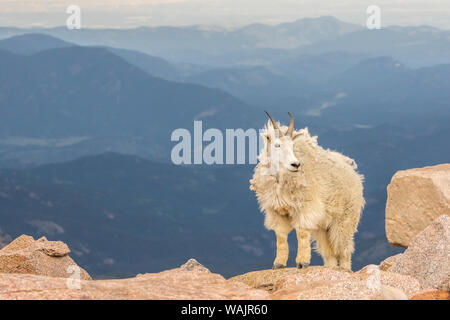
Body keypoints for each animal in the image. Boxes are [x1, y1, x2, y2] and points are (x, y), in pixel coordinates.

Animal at [250, 112, 366, 270]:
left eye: (292, 145)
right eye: (277, 145)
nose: (295, 164)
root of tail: (354, 174)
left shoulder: (305, 207)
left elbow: (302, 233)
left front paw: (302, 262)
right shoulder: (276, 211)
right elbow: (281, 237)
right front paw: (278, 264)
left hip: (345, 220)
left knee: (344, 248)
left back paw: (345, 269)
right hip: (323, 227)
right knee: (329, 252)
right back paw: (330, 268)